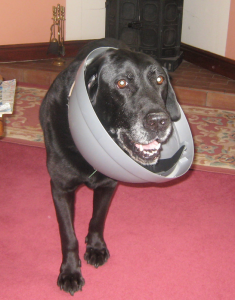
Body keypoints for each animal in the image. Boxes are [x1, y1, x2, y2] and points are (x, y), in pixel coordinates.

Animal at [40, 38, 180, 296]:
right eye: (122, 83)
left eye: (159, 80)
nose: (159, 121)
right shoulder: (61, 188)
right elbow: (68, 234)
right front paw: (70, 272)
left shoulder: (108, 184)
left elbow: (98, 218)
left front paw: (95, 247)